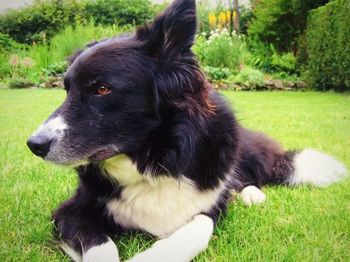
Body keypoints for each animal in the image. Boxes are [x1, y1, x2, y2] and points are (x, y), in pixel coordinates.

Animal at [26, 1, 348, 260]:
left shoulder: (211, 205)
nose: (34, 144)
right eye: (67, 89)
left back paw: (252, 194)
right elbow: (100, 243)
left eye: (102, 89)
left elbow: (201, 223)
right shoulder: (70, 211)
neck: (154, 160)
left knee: (241, 179)